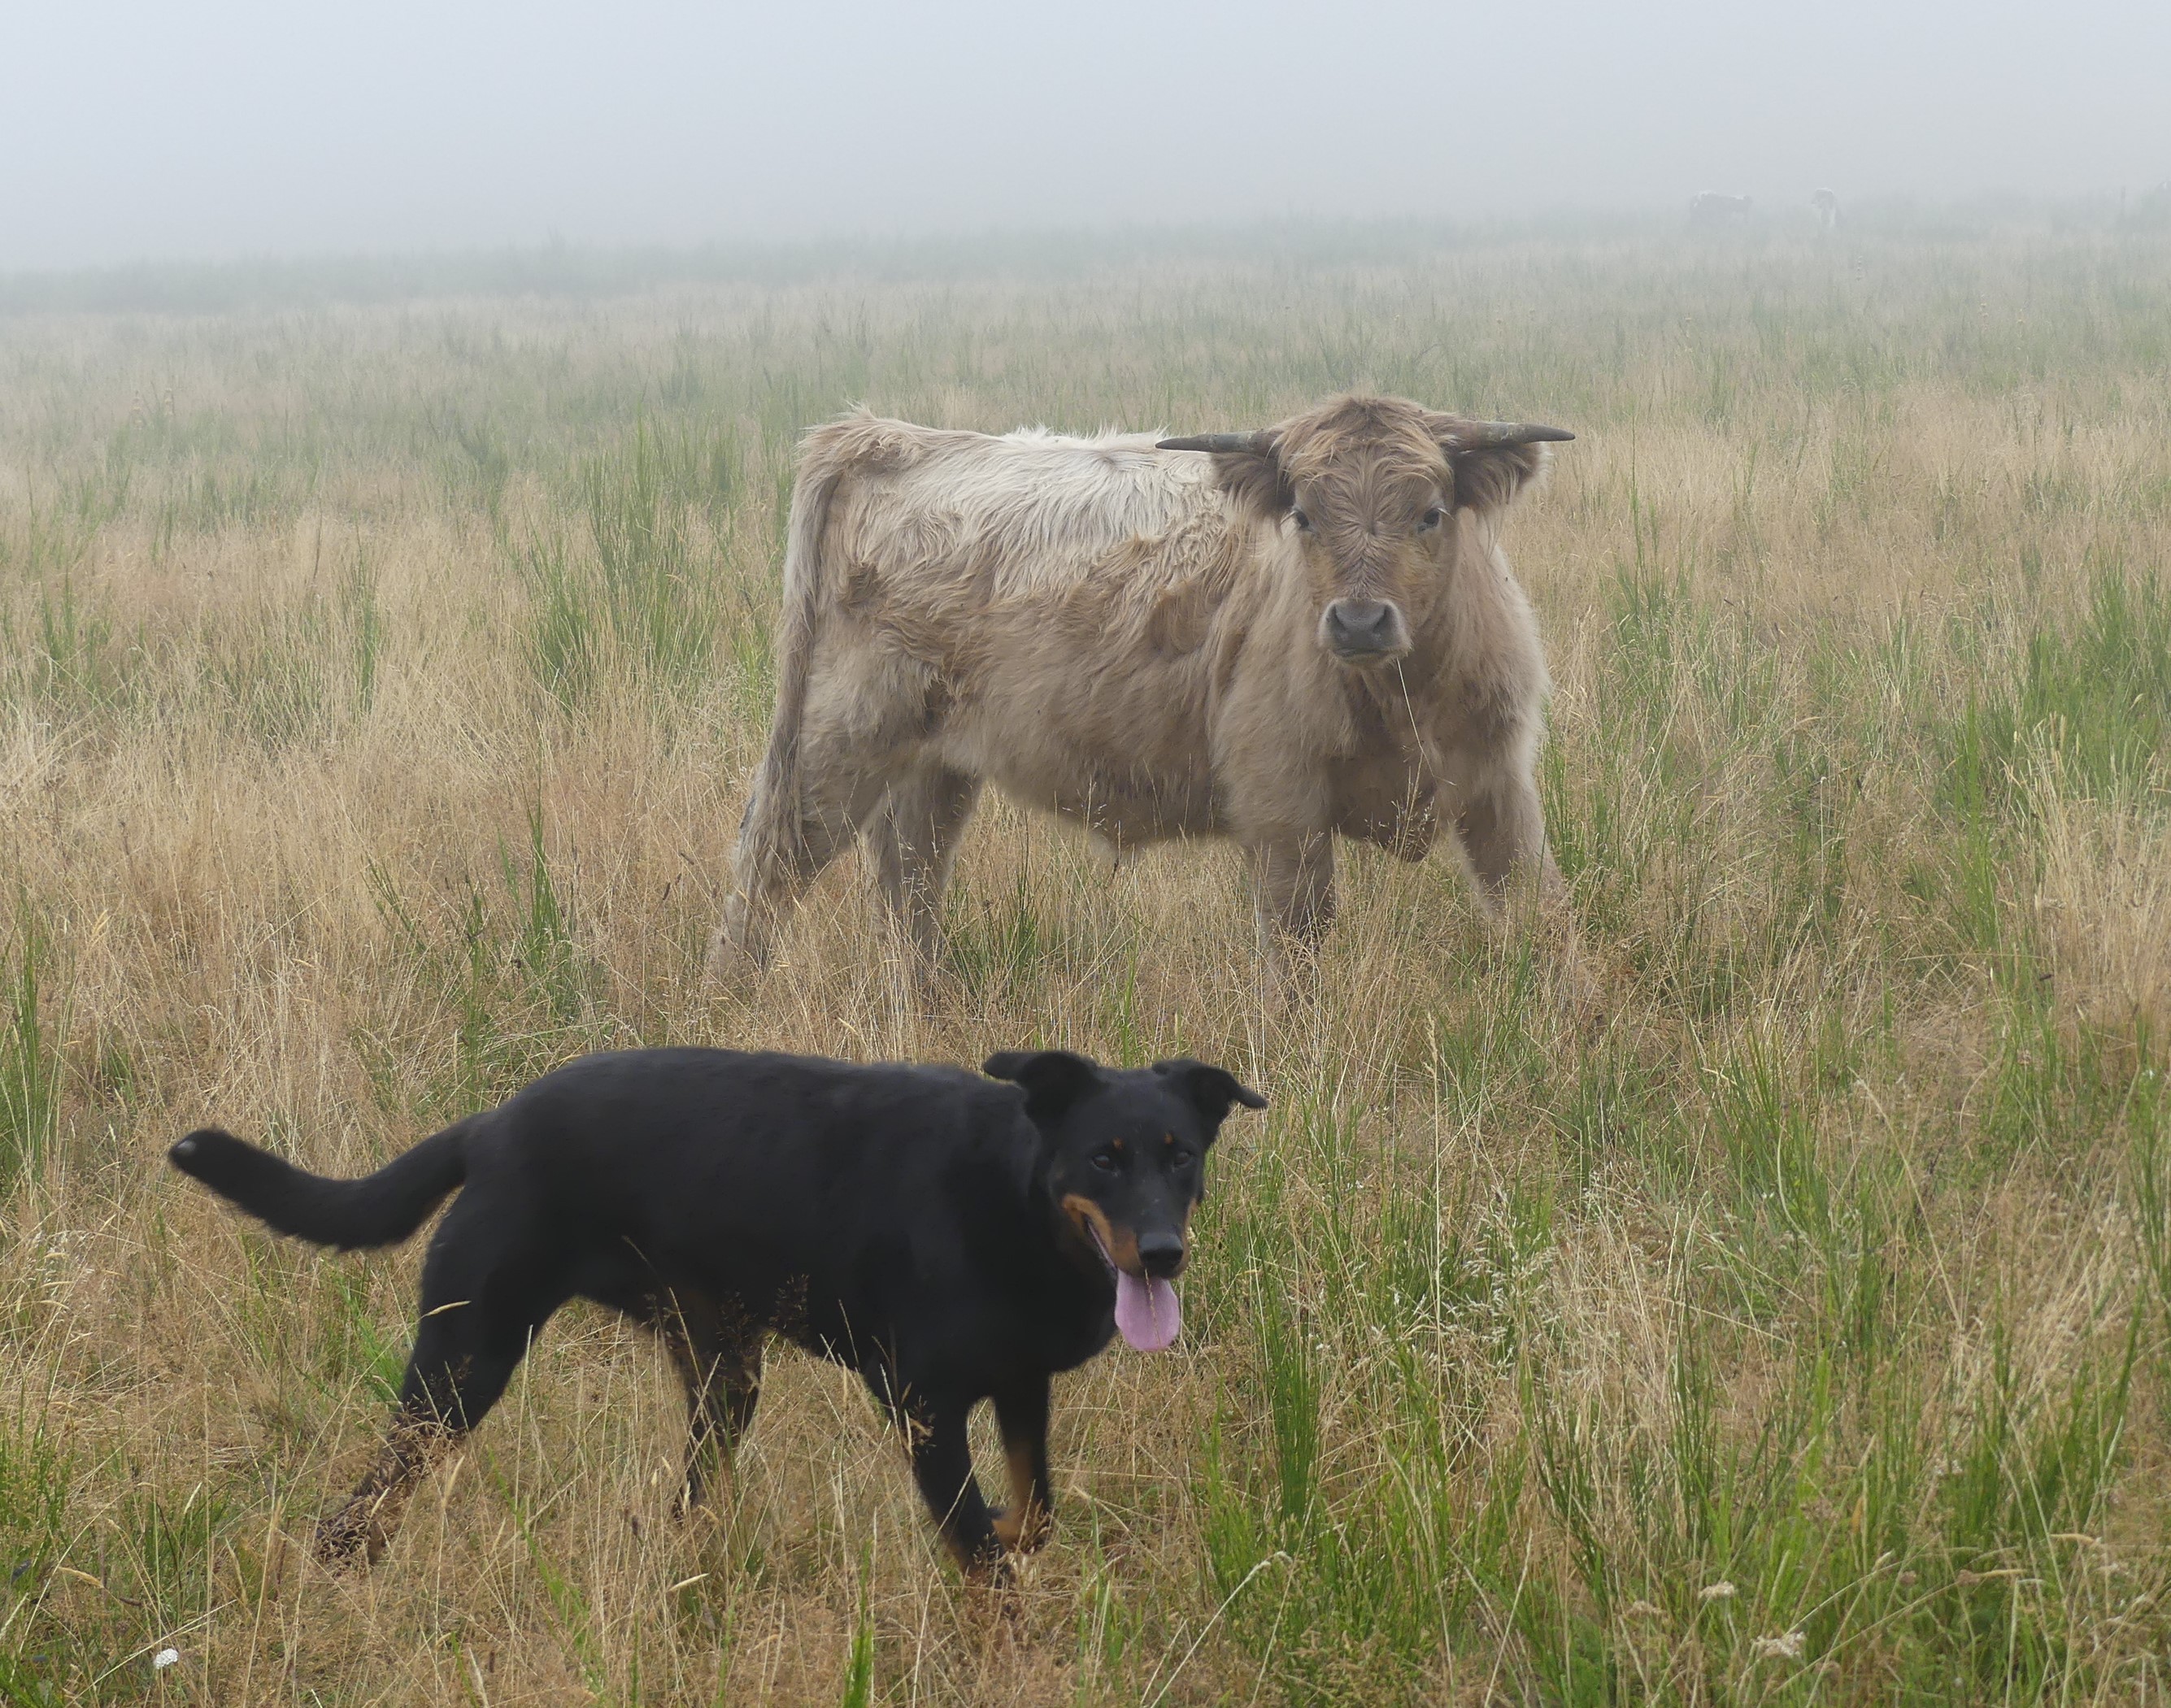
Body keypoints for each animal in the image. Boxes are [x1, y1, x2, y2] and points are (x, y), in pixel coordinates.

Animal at [169, 1050, 1268, 1571]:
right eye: (1104, 1159)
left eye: (1181, 1155)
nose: (1162, 1252)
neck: (1014, 1193)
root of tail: (489, 1126)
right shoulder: (923, 1407)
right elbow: (986, 1565)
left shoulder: (1021, 1384)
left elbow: (1031, 1512)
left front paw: (1009, 1521)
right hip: (464, 1360)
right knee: (358, 1512)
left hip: (724, 1376)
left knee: (688, 1501)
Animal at [716, 388, 1580, 976]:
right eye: (1303, 514)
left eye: (1430, 513)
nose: (1360, 622)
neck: (1397, 702)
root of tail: (888, 436)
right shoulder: (1282, 806)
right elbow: (1295, 948)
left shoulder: (1497, 784)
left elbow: (1540, 909)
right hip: (834, 742)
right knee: (770, 863)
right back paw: (733, 999)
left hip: (934, 765)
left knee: (909, 879)